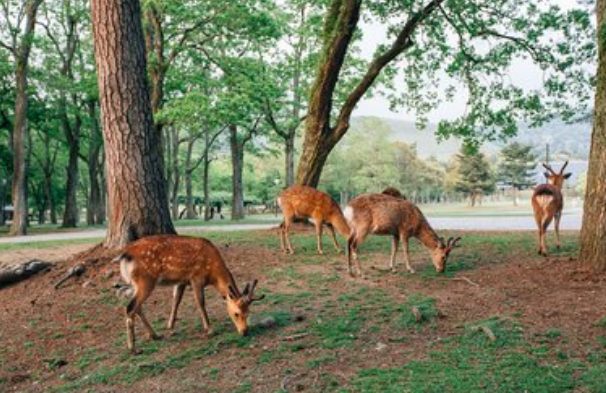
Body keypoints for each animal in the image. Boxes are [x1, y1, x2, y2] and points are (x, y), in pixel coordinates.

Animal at [115, 233, 264, 352]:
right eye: (236, 313)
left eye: (248, 312)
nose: (245, 332)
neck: (212, 274)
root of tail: (125, 255)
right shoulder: (196, 277)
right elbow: (200, 302)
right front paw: (209, 329)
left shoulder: (182, 280)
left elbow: (176, 300)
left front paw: (170, 325)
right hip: (145, 280)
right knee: (130, 307)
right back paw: (133, 348)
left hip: (135, 283)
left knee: (137, 307)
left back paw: (155, 335)